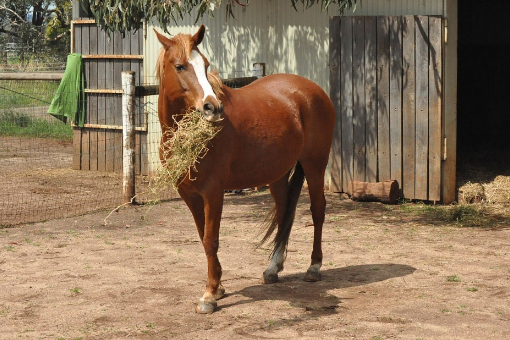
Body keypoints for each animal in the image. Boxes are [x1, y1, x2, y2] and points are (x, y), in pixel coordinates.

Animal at [157, 25, 336, 314]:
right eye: (180, 66)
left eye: (205, 64)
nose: (212, 107)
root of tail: (314, 90)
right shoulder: (189, 194)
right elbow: (202, 236)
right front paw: (218, 287)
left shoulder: (213, 192)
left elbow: (211, 239)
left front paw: (209, 295)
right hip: (277, 174)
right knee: (285, 213)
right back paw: (273, 268)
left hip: (315, 164)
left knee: (317, 210)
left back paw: (314, 267)